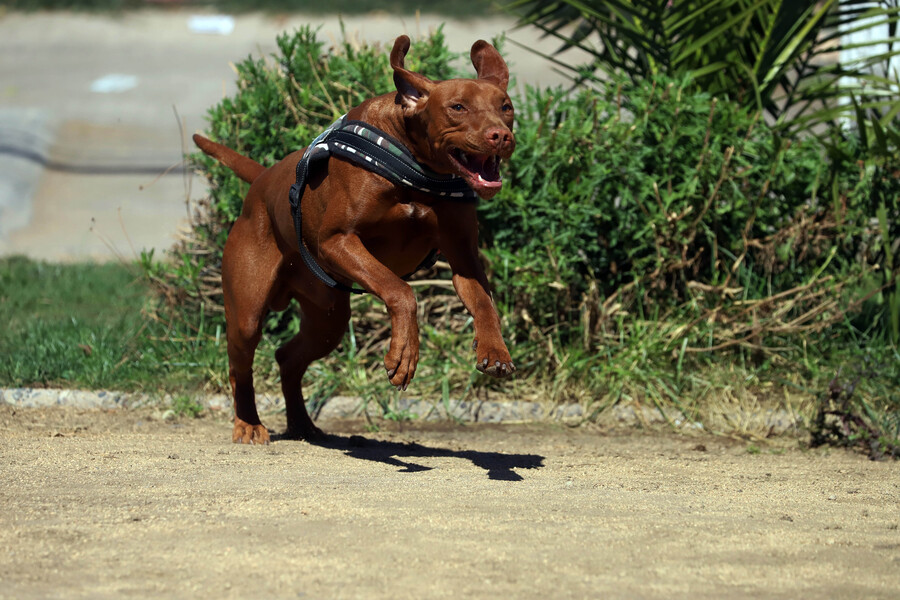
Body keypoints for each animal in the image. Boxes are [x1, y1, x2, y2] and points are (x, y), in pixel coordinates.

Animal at [192, 35, 512, 442]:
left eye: (506, 107)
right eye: (457, 107)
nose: (501, 135)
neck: (416, 164)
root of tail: (262, 181)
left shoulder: (463, 257)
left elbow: (484, 303)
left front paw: (495, 351)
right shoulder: (338, 241)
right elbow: (400, 291)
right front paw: (404, 353)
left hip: (327, 318)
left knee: (287, 357)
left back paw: (302, 424)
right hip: (247, 308)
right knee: (240, 364)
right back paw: (248, 422)